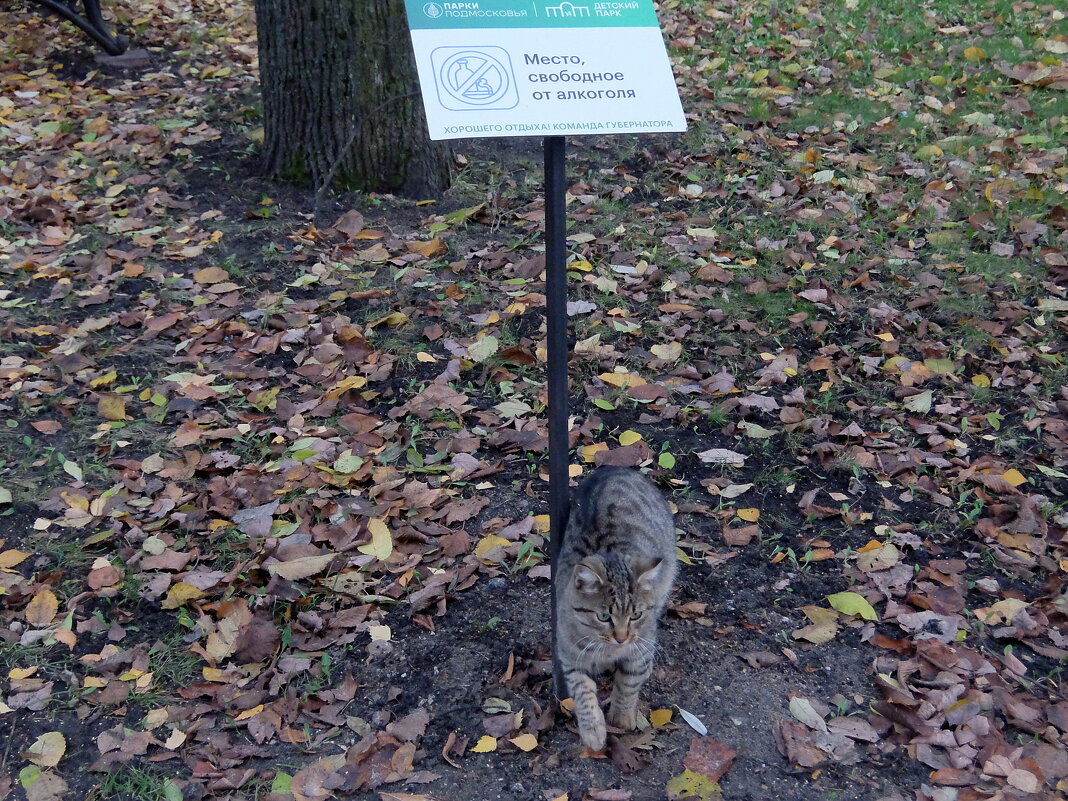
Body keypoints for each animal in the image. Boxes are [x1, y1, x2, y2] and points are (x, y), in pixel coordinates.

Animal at [555, 467, 670, 756]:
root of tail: (611, 468)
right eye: (604, 616)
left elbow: (628, 682)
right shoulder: (570, 656)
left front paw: (621, 716)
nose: (621, 637)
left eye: (636, 615)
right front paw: (593, 731)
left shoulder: (640, 645)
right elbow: (583, 693)